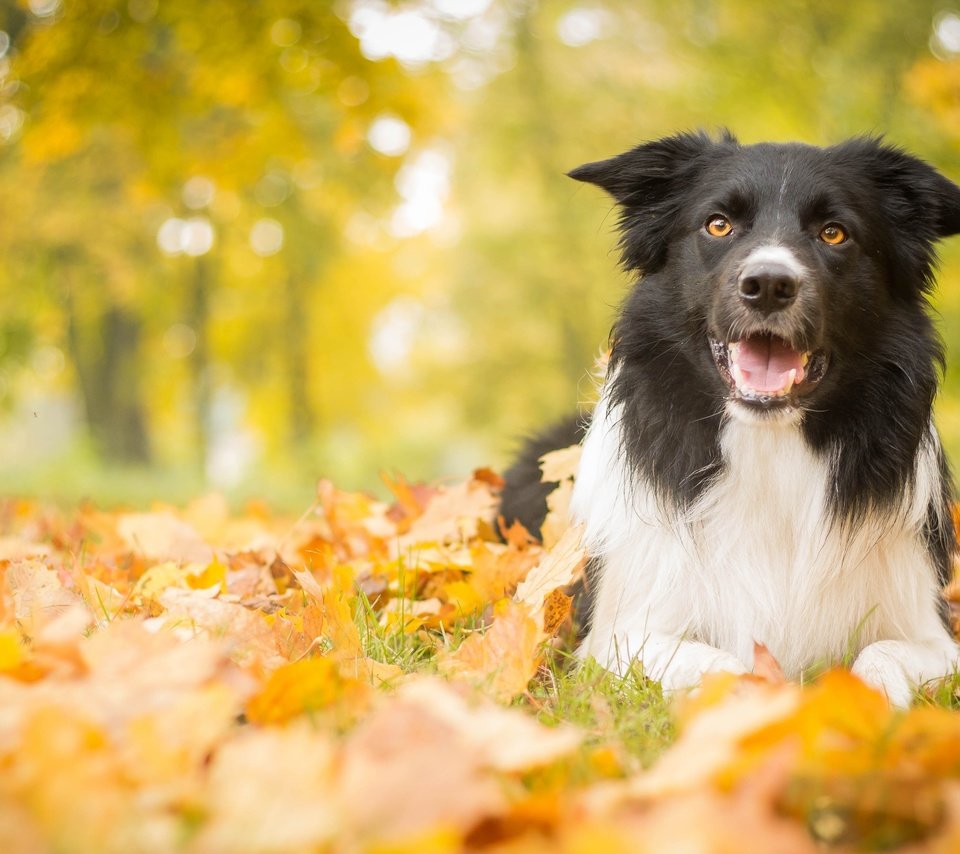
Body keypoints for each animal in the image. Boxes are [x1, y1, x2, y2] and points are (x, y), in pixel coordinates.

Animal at [498, 132, 960, 708]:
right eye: (718, 224)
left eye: (834, 232)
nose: (768, 284)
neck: (769, 445)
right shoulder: (615, 635)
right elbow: (720, 664)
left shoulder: (931, 630)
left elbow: (882, 654)